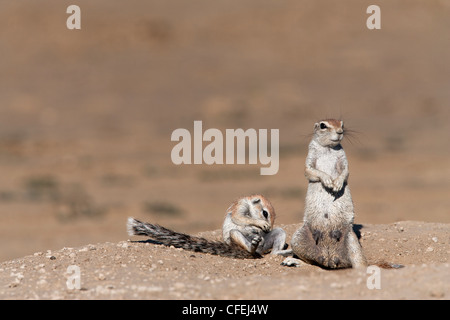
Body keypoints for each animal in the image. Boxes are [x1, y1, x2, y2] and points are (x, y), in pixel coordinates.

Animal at [126, 194, 288, 258]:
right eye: (265, 213)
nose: (269, 227)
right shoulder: (240, 206)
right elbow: (239, 218)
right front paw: (259, 225)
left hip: (277, 236)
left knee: (273, 249)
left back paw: (281, 252)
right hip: (235, 237)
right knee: (242, 240)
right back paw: (252, 246)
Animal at [284, 119, 368, 268]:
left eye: (342, 124)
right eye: (323, 125)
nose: (340, 132)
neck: (328, 148)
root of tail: (329, 258)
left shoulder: (343, 158)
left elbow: (345, 171)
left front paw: (337, 183)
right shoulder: (310, 156)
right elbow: (310, 170)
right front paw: (328, 181)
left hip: (352, 241)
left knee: (359, 262)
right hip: (297, 239)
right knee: (312, 262)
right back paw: (292, 260)